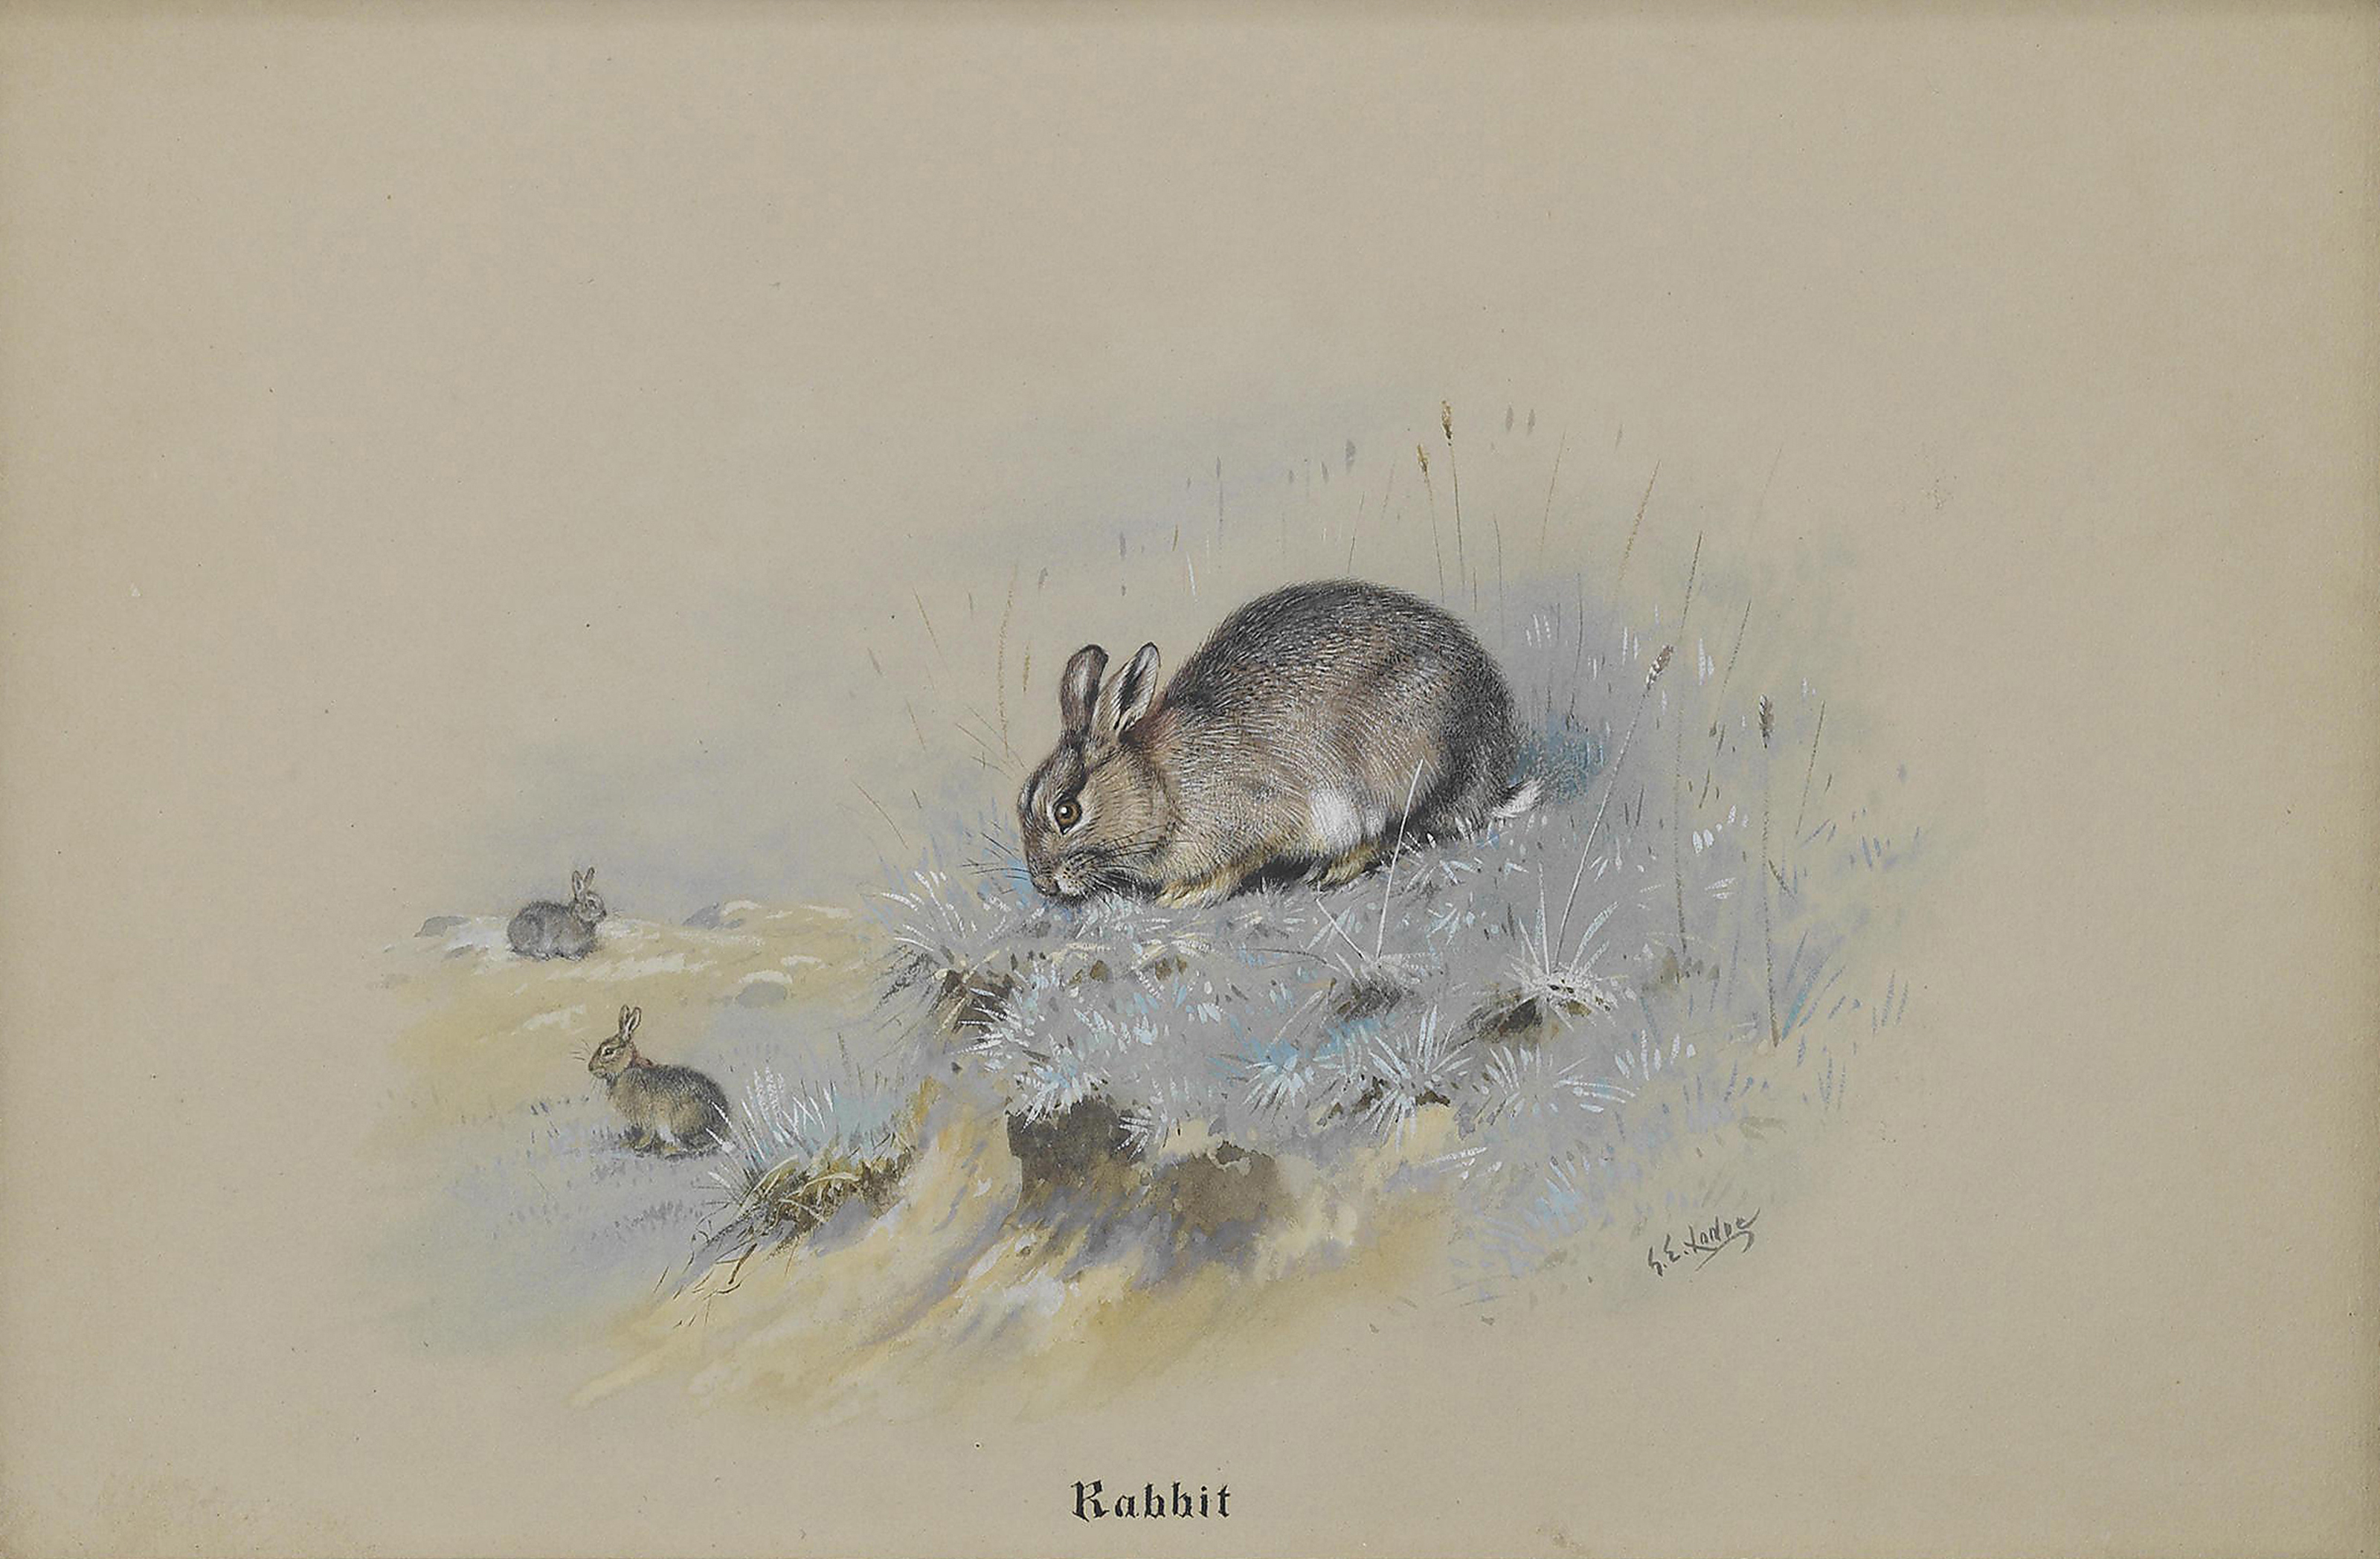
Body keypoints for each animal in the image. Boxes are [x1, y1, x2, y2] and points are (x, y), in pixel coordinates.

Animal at [507, 867, 607, 959]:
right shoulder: (565, 943)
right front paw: (575, 957)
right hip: (534, 932)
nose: (605, 915)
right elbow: (566, 952)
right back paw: (543, 955)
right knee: (527, 950)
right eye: (591, 903)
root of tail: (511, 933)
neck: (578, 918)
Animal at [587, 1006, 731, 1156]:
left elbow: (648, 1133)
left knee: (693, 1146)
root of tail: (724, 1131)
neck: (626, 1068)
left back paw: (667, 1150)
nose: (590, 1067)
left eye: (608, 1051)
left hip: (681, 1122)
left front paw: (639, 1145)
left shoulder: (646, 1116)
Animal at [1018, 579, 1540, 907]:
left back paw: (1334, 869)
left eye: (1066, 811)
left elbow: (1240, 860)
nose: (1042, 884)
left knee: (1393, 832)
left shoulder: (1262, 815)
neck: (1161, 788)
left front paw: (1186, 895)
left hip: (1391, 765)